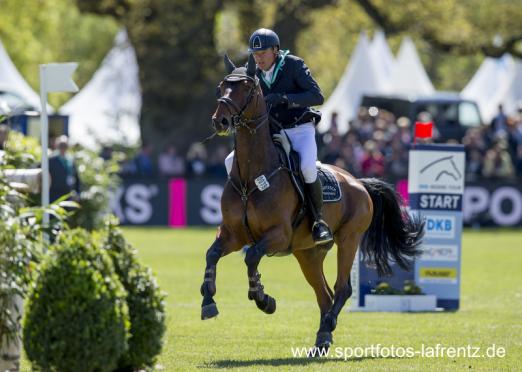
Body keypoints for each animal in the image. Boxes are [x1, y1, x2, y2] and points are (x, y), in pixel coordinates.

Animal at [199, 53, 422, 350]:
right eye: (221, 87)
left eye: (246, 88)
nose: (220, 121)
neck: (250, 177)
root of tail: (358, 182)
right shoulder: (234, 234)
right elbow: (212, 254)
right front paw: (208, 300)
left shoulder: (278, 235)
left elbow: (253, 257)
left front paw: (263, 299)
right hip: (308, 253)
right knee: (324, 294)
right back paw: (323, 336)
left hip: (348, 239)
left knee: (342, 288)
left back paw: (327, 327)